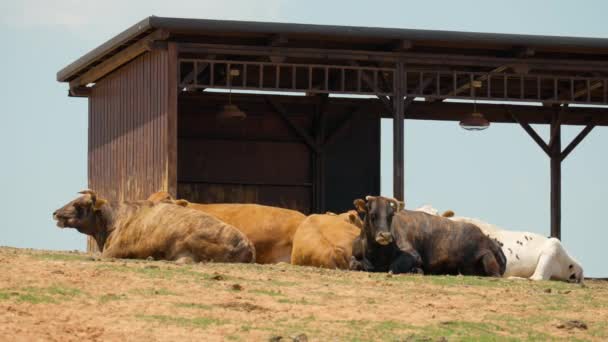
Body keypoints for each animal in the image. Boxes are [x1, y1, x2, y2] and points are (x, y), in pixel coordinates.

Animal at [350, 195, 506, 276]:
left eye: (391, 215)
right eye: (373, 215)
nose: (386, 236)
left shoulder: (413, 254)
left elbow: (394, 267)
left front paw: (416, 270)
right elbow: (353, 264)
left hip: (486, 257)